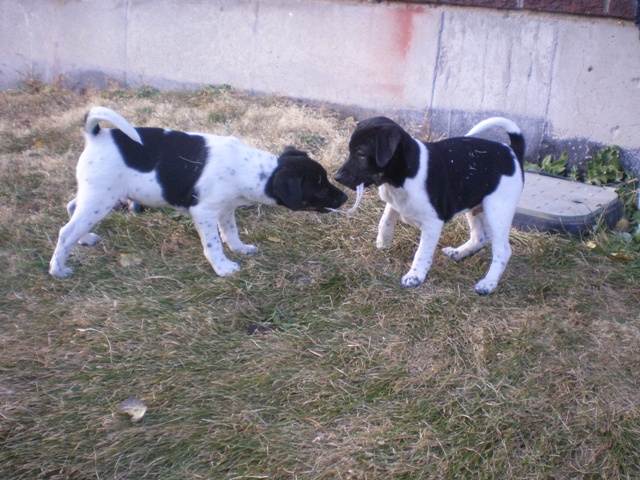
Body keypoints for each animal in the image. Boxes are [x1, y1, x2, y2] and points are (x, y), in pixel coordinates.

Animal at [50, 106, 348, 276]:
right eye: (320, 186)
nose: (345, 197)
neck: (252, 169)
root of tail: (97, 135)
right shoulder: (203, 211)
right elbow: (213, 243)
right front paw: (223, 267)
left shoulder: (226, 208)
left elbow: (230, 232)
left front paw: (240, 249)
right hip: (101, 198)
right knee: (65, 231)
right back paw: (58, 269)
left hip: (96, 195)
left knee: (71, 208)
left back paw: (85, 239)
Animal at [336, 117, 524, 296]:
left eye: (361, 154)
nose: (337, 177)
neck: (403, 178)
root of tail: (512, 152)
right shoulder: (394, 202)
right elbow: (385, 220)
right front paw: (383, 240)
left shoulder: (433, 224)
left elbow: (422, 252)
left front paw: (415, 276)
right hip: (474, 205)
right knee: (480, 236)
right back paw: (458, 253)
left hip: (498, 210)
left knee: (503, 250)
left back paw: (488, 283)